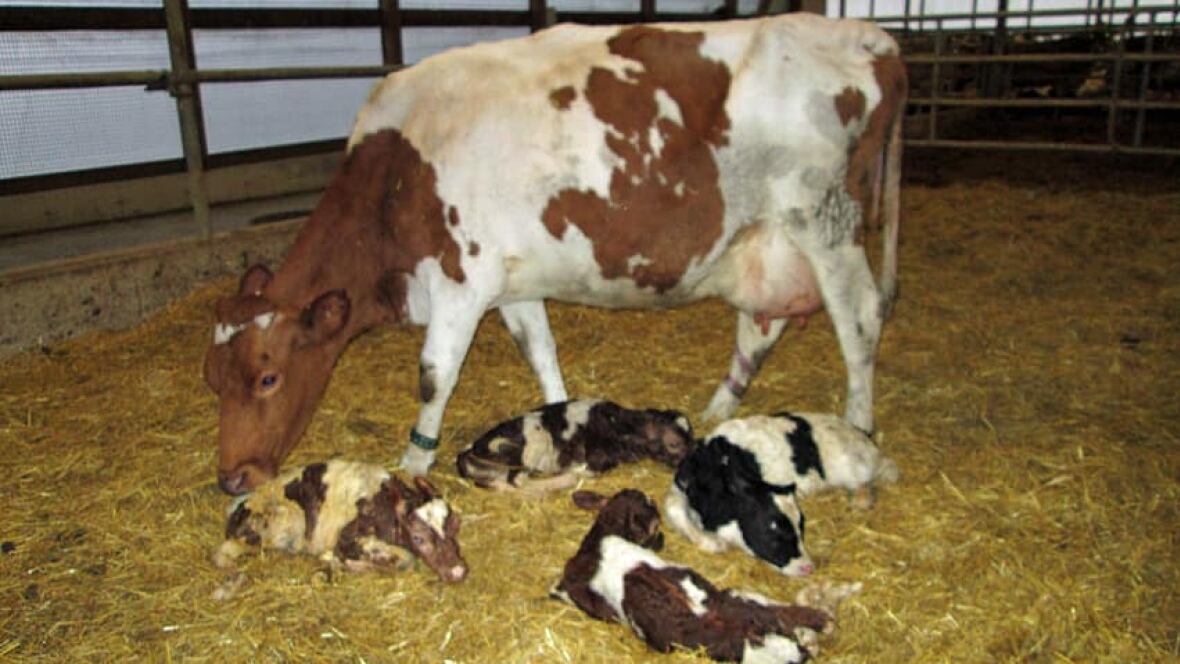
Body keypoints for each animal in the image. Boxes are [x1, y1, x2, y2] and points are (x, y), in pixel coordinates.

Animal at [212, 459, 468, 583]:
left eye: (455, 526)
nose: (457, 572)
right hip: (285, 524)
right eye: (417, 537)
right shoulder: (347, 538)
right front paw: (345, 562)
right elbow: (406, 559)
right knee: (223, 552)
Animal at [456, 399, 694, 494]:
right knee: (518, 481)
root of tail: (468, 452)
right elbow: (585, 472)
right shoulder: (593, 461)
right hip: (534, 441)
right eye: (674, 444)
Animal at [550, 489, 834, 663]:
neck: (599, 541)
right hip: (742, 597)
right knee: (786, 614)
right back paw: (820, 626)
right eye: (654, 526)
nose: (661, 540)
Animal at [665, 411, 898, 573]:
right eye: (772, 528)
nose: (808, 567)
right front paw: (710, 542)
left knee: (884, 471)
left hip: (852, 463)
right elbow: (672, 507)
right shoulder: (681, 484)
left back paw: (862, 497)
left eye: (801, 527)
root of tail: (860, 431)